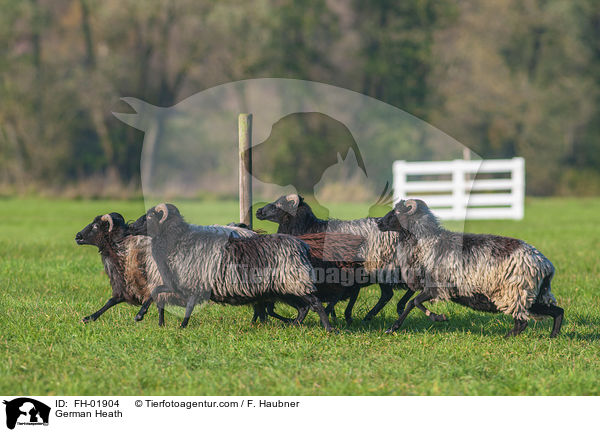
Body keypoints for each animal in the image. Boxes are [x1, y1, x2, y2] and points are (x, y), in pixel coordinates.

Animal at [253, 194, 440, 322]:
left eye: (279, 205)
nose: (258, 211)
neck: (309, 227)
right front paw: (339, 316)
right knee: (396, 292)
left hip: (389, 268)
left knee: (397, 292)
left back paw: (384, 311)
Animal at [378, 199, 564, 338]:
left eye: (397, 213)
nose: (379, 222)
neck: (426, 243)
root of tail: (545, 264)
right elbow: (411, 303)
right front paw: (393, 328)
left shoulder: (436, 287)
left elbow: (413, 302)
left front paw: (437, 317)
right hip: (532, 296)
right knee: (557, 311)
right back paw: (552, 337)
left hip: (515, 293)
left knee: (522, 322)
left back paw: (506, 338)